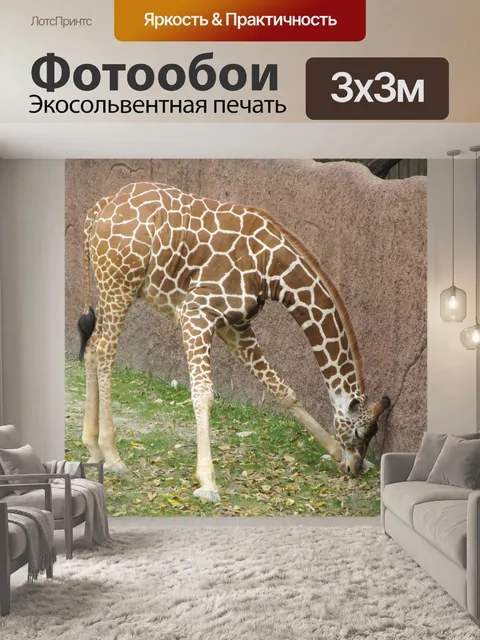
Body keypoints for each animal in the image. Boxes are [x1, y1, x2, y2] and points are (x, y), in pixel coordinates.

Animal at [78, 182, 391, 503]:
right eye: (359, 433)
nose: (355, 467)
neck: (271, 269)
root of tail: (97, 211)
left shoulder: (235, 325)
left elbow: (282, 390)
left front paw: (335, 453)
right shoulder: (196, 313)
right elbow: (204, 394)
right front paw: (208, 483)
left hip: (110, 285)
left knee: (91, 346)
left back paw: (93, 448)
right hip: (120, 284)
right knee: (104, 350)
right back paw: (112, 455)